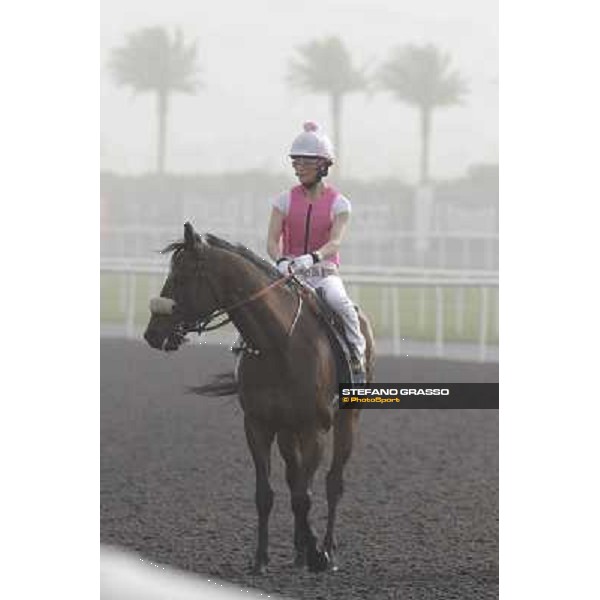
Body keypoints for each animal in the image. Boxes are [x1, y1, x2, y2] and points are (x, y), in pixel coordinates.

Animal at [142, 223, 372, 576]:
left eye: (180, 277)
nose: (152, 334)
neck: (279, 343)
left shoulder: (315, 429)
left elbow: (306, 495)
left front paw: (318, 555)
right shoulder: (258, 426)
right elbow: (267, 494)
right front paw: (261, 558)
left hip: (348, 419)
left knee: (333, 483)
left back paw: (328, 550)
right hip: (288, 432)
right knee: (295, 479)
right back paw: (300, 550)